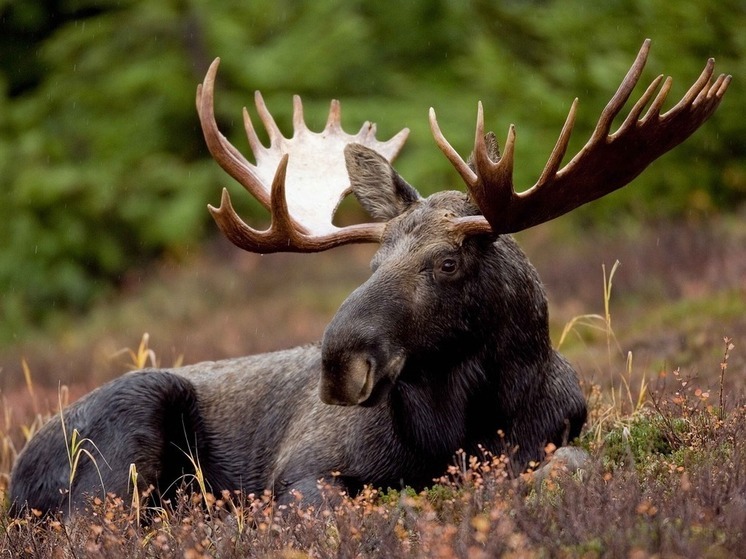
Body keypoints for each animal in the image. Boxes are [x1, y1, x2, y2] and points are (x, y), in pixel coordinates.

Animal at [7, 39, 728, 520]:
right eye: (373, 264)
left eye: (447, 262)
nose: (338, 363)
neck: (460, 427)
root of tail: (14, 476)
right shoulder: (303, 472)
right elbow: (375, 505)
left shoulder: (554, 437)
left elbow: (567, 468)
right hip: (123, 441)